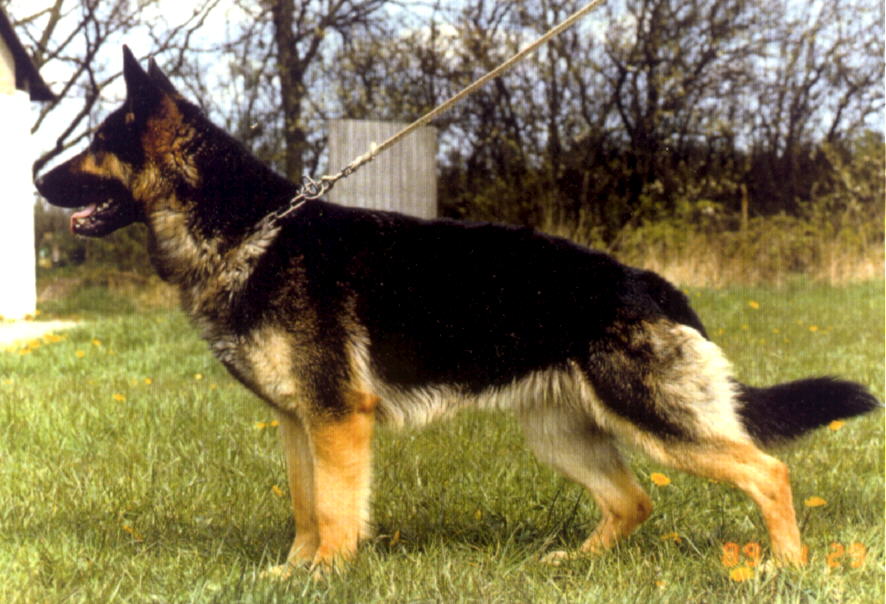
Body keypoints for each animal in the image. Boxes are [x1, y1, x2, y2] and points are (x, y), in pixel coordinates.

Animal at [36, 47, 878, 574]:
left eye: (97, 142)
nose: (38, 179)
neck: (250, 230)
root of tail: (648, 281)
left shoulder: (337, 421)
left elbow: (336, 513)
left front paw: (324, 575)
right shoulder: (300, 424)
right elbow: (308, 510)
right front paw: (293, 573)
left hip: (656, 421)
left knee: (767, 470)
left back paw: (786, 567)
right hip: (561, 435)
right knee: (635, 501)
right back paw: (573, 564)